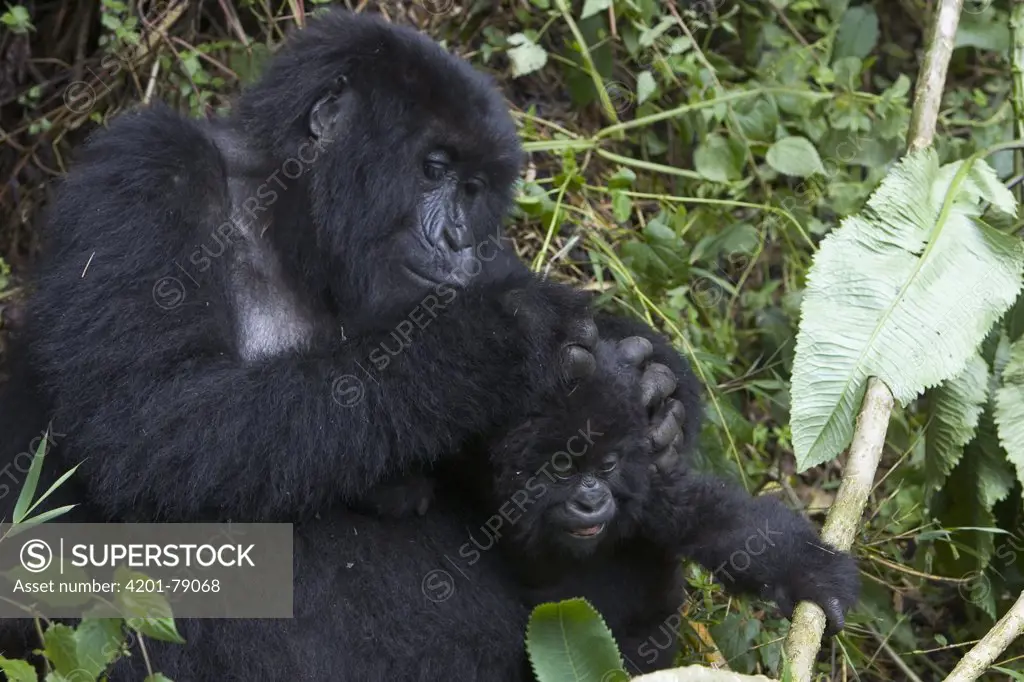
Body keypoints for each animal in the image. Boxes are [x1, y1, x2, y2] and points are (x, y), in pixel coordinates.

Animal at [364, 333, 860, 667]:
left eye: (605, 466)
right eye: (563, 469)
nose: (590, 500)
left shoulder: (642, 486)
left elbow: (719, 524)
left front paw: (809, 572)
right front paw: (396, 486)